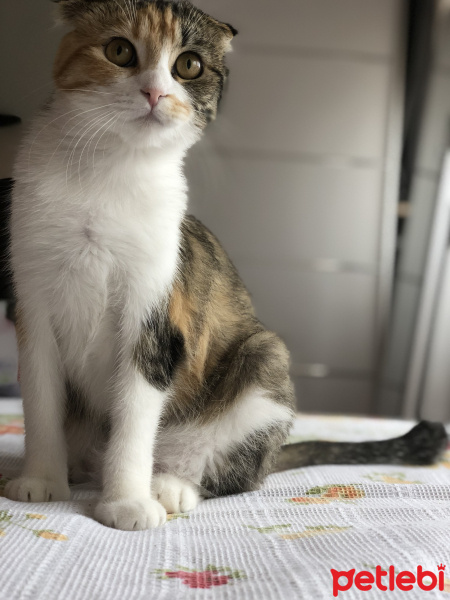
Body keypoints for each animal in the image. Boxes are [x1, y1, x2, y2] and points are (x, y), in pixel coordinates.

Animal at [5, 0, 448, 528]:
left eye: (188, 65)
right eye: (119, 51)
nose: (154, 92)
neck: (108, 174)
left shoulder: (155, 316)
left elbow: (135, 415)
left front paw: (127, 501)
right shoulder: (32, 302)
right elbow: (41, 403)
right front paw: (40, 479)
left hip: (263, 359)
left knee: (239, 470)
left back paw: (170, 485)